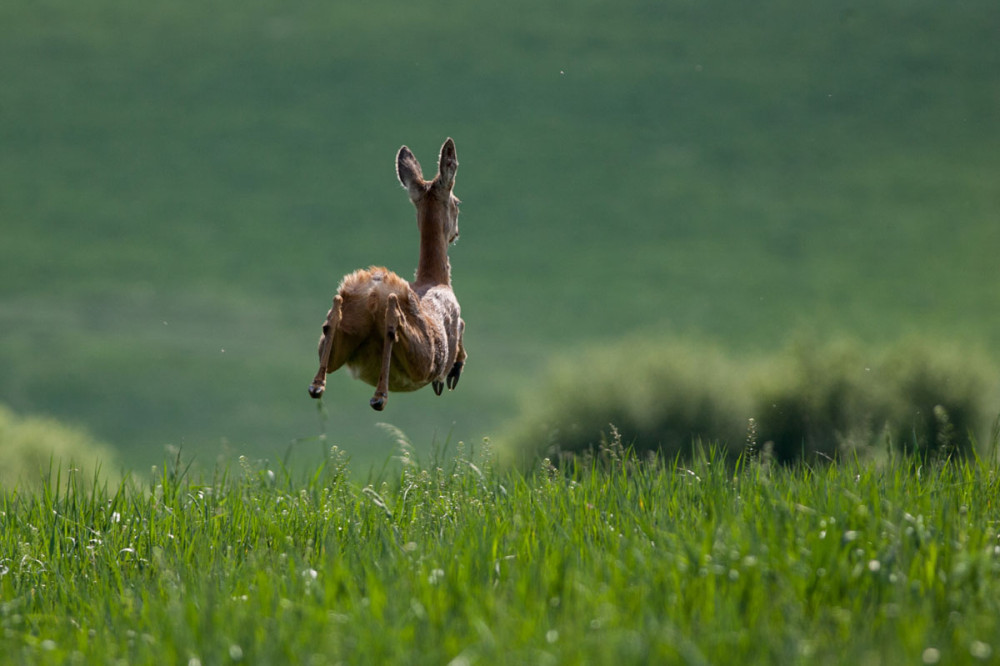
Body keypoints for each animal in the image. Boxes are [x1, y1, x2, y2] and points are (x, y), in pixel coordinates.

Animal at [306, 137, 466, 408]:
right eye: (457, 203)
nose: (456, 234)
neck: (435, 280)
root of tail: (375, 288)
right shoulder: (454, 319)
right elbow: (463, 327)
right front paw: (456, 370)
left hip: (344, 335)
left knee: (332, 320)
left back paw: (317, 385)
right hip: (422, 357)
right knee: (393, 326)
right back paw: (379, 396)